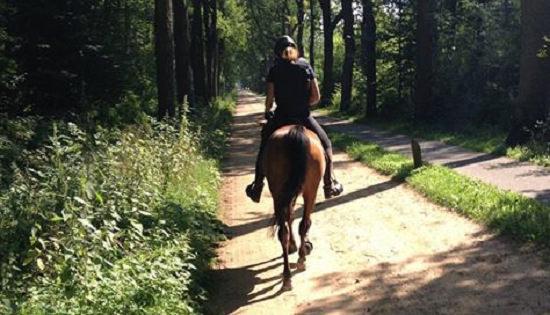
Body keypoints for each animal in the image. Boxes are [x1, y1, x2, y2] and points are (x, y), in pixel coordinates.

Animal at [264, 124, 328, 292]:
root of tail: (295, 130)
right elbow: (294, 219)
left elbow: (290, 218)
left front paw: (294, 245)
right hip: (309, 191)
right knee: (303, 224)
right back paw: (300, 260)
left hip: (279, 193)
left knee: (284, 231)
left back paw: (287, 276)